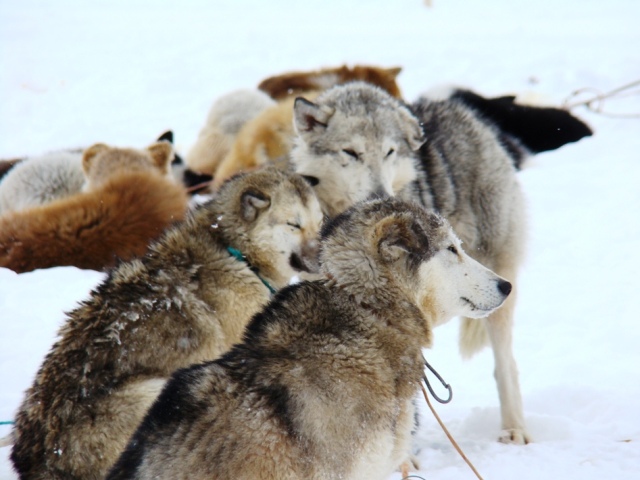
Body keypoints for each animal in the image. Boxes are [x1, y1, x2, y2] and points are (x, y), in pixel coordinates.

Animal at [11, 168, 324, 480]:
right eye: (294, 225)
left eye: (319, 223)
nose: (324, 258)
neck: (237, 253)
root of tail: (38, 462)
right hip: (153, 391)